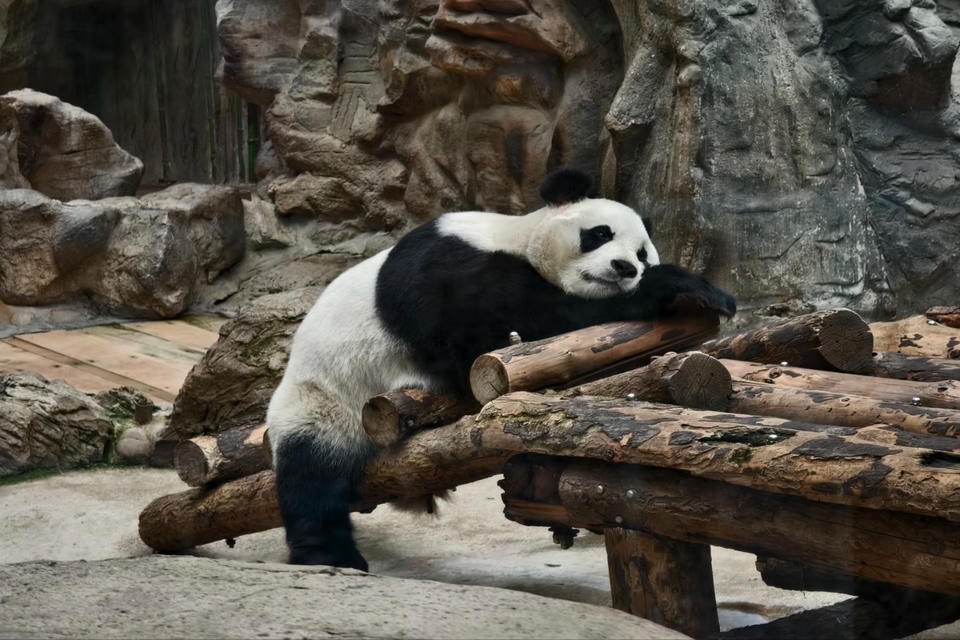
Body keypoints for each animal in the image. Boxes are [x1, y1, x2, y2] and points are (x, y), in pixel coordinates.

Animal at [266, 168, 736, 571]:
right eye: (600, 233)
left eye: (642, 254)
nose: (626, 268)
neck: (516, 236)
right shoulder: (444, 260)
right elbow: (503, 324)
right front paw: (682, 287)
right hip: (325, 399)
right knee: (312, 474)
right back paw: (329, 554)